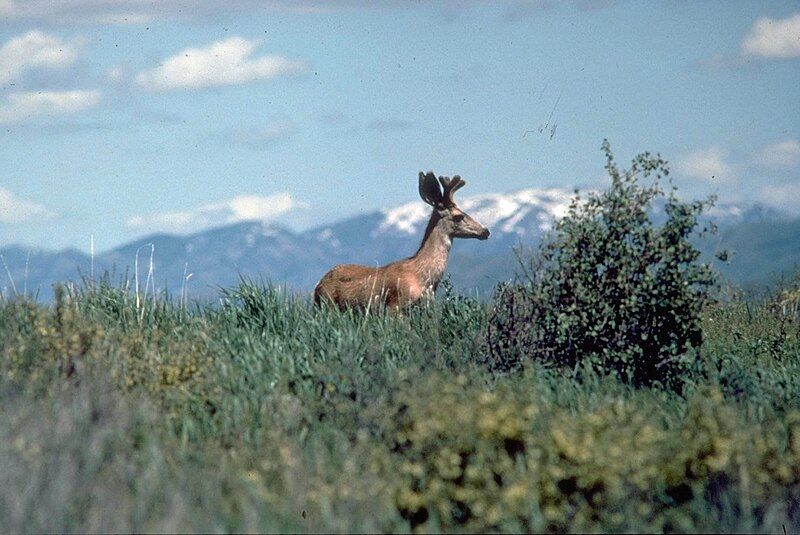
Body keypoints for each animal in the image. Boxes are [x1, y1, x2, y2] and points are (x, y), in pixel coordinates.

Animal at [314, 172, 490, 312]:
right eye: (459, 216)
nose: (486, 231)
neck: (422, 276)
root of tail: (318, 286)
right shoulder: (396, 304)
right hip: (327, 305)